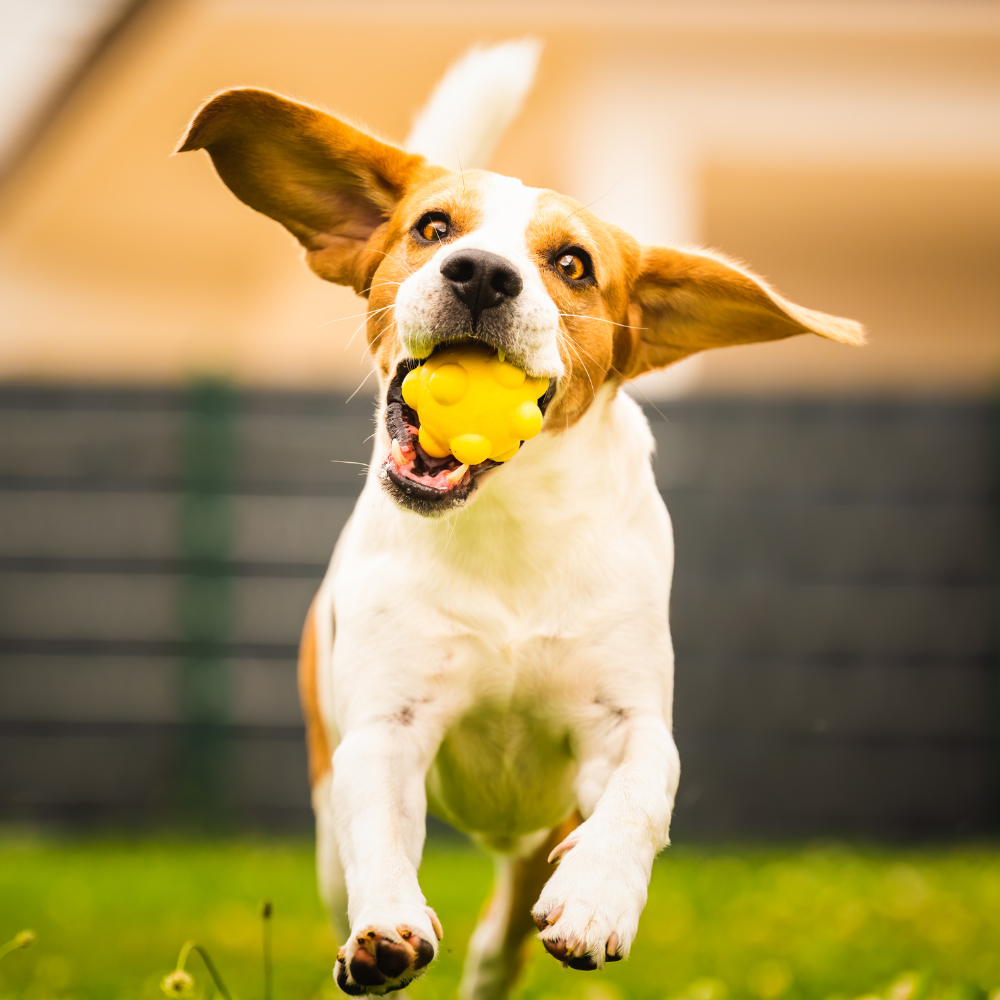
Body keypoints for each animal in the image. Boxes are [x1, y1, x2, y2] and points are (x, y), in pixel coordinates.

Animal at [178, 43, 860, 1000]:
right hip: (325, 826)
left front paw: (599, 900)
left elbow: (641, 794)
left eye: (571, 264)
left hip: (540, 829)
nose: (481, 272)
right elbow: (378, 830)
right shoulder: (385, 729)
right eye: (433, 228)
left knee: (505, 931)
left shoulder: (627, 722)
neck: (506, 527)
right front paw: (386, 929)